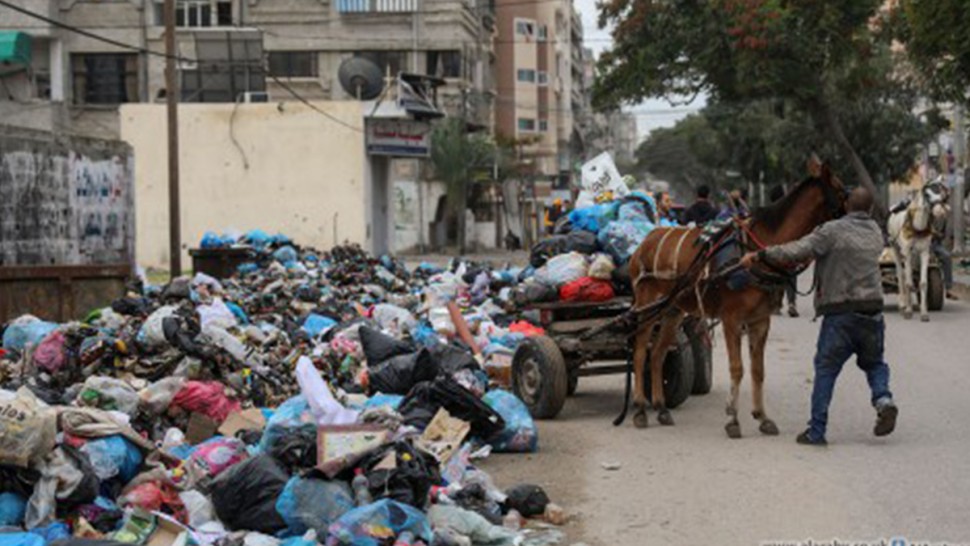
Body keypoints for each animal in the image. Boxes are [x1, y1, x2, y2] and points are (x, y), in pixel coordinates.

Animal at [628, 160, 840, 434]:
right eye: (842, 191)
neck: (756, 252)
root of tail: (644, 243)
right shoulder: (731, 319)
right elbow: (737, 368)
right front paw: (732, 419)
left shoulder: (760, 320)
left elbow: (758, 370)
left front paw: (762, 417)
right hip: (646, 307)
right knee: (640, 352)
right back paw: (640, 410)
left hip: (672, 310)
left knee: (657, 354)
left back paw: (662, 408)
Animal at [884, 181, 944, 320]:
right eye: (927, 194)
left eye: (939, 191)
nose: (939, 210)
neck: (917, 227)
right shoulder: (906, 252)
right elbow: (908, 282)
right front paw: (908, 311)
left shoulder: (925, 252)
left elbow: (923, 283)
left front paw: (924, 313)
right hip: (895, 248)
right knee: (901, 275)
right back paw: (903, 305)